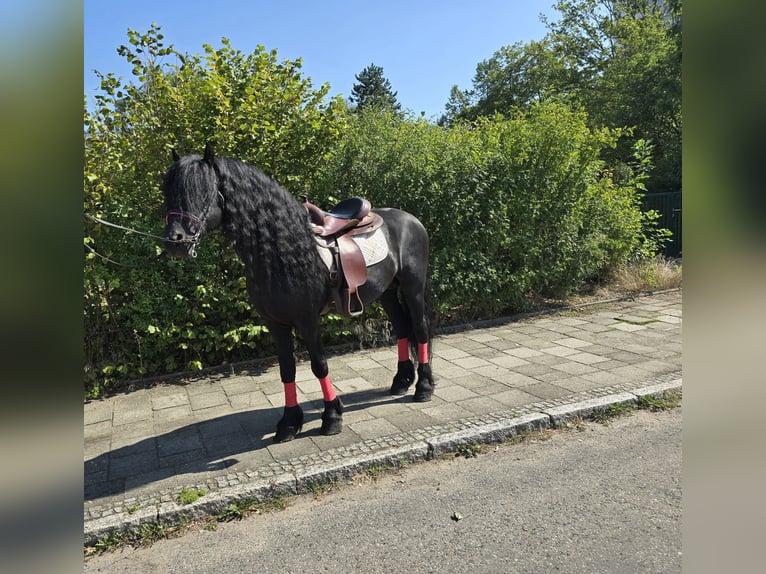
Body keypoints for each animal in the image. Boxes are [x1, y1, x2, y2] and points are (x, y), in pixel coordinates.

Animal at [160, 145, 438, 446]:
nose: (174, 242)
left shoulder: (307, 320)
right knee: (402, 328)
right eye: (168, 192)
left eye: (202, 191)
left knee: (420, 329)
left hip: (412, 286)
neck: (281, 250)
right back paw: (400, 382)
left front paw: (332, 417)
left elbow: (319, 365)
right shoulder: (276, 324)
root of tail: (411, 219)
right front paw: (289, 423)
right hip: (386, 291)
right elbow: (287, 370)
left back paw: (423, 388)